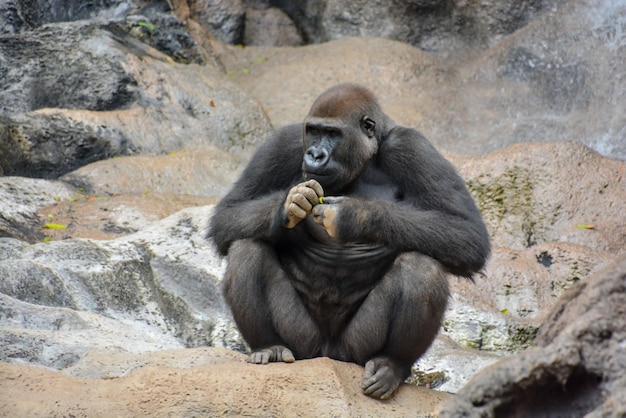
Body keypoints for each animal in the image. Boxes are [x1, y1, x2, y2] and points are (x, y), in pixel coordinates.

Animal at [207, 83, 490, 400]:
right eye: (313, 131)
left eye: (333, 134)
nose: (314, 155)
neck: (368, 154)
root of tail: (329, 354)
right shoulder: (285, 142)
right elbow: (228, 214)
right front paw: (287, 206)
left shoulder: (412, 146)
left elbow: (467, 234)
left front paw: (352, 216)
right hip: (304, 345)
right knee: (247, 248)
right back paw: (269, 347)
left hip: (356, 349)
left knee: (421, 266)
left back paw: (392, 364)